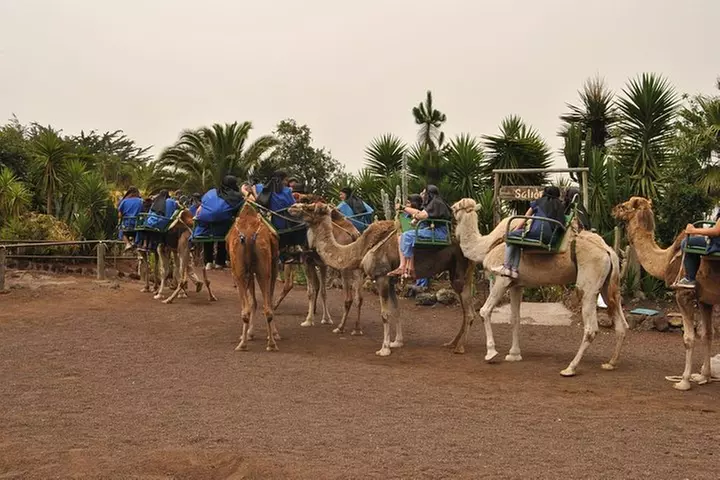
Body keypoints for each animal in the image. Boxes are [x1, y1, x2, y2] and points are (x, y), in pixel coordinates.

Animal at [227, 203, 280, 352]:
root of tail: (250, 237)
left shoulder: (244, 272)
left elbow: (252, 303)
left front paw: (249, 334)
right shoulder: (264, 269)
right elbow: (258, 302)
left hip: (240, 273)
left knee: (246, 310)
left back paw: (242, 345)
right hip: (265, 269)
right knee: (267, 307)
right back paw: (271, 344)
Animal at [288, 202, 475, 356]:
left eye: (311, 206)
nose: (293, 207)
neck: (361, 248)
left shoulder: (381, 277)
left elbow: (384, 314)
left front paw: (384, 349)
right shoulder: (390, 280)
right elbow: (396, 310)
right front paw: (397, 342)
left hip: (459, 272)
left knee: (469, 311)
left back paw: (460, 347)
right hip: (461, 272)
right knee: (466, 309)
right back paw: (452, 343)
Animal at [451, 198, 628, 376]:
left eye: (456, 208)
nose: (451, 211)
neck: (486, 246)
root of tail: (608, 251)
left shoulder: (501, 280)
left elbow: (485, 311)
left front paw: (491, 353)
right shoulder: (516, 284)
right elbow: (515, 318)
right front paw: (514, 354)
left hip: (589, 286)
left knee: (591, 328)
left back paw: (570, 368)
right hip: (608, 286)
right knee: (621, 324)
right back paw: (610, 363)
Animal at [612, 197, 720, 390]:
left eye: (624, 206)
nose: (613, 209)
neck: (666, 260)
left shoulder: (683, 295)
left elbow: (688, 338)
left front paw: (684, 381)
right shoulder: (704, 300)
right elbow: (707, 334)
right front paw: (703, 376)